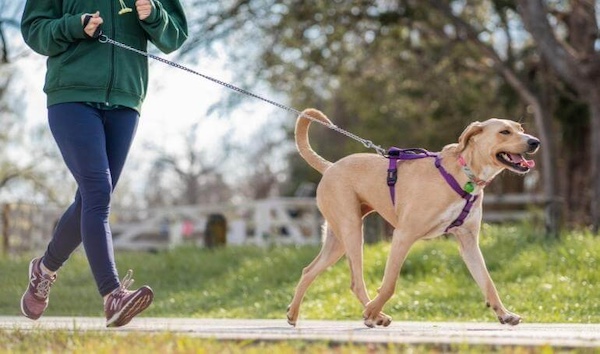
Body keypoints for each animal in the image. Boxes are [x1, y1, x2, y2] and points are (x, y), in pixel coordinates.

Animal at [286, 106, 540, 328]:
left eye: (520, 128)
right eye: (504, 132)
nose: (535, 142)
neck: (465, 174)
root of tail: (330, 167)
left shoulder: (468, 243)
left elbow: (488, 282)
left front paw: (504, 314)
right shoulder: (403, 235)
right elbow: (389, 285)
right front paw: (372, 311)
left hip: (337, 240)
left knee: (309, 271)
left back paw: (293, 313)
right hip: (352, 230)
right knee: (356, 281)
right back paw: (374, 314)